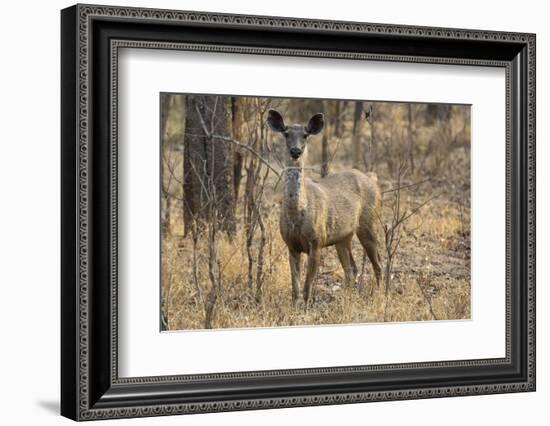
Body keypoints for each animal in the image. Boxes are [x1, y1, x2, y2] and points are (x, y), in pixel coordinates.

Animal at [268, 109, 384, 302]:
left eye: (305, 135)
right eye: (286, 133)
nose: (296, 151)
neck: (296, 216)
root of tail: (372, 178)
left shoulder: (317, 242)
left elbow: (307, 289)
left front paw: (307, 307)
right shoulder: (291, 245)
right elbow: (295, 290)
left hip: (369, 222)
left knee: (378, 264)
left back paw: (381, 296)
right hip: (343, 237)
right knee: (351, 269)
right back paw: (347, 300)